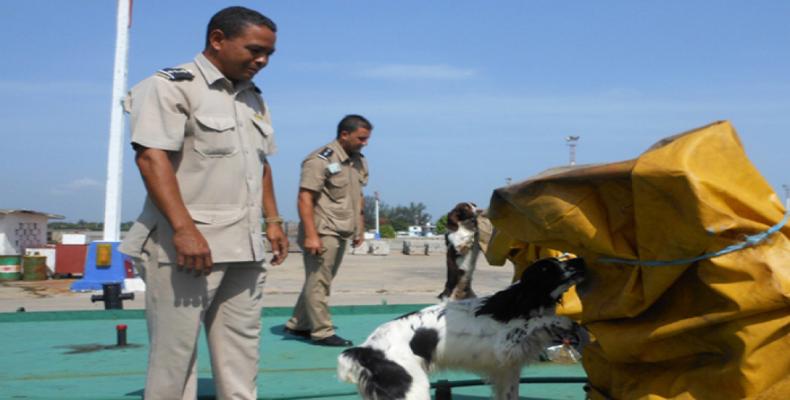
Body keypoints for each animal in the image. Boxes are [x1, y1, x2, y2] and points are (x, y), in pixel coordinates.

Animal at [338, 256, 584, 400]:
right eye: (547, 268)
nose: (580, 260)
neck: (518, 302)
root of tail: (367, 349)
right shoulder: (504, 345)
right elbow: (536, 322)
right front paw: (563, 321)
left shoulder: (508, 372)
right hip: (412, 388)